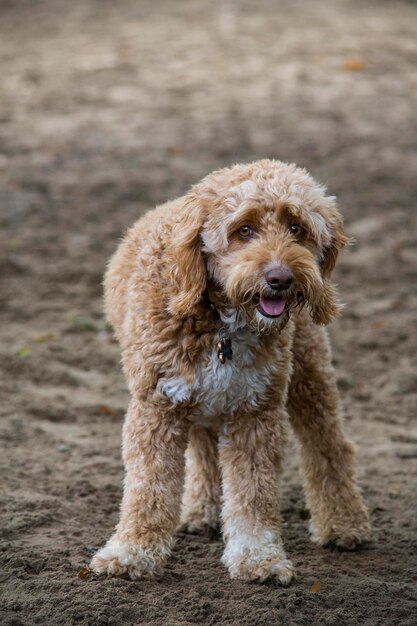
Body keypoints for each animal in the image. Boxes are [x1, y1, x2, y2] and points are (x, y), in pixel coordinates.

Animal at [89, 158, 368, 584]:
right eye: (244, 229)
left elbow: (253, 492)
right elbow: (148, 488)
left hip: (307, 372)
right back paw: (201, 511)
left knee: (328, 444)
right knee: (204, 450)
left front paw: (258, 558)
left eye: (296, 228)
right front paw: (131, 553)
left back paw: (344, 523)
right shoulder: (158, 407)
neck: (223, 321)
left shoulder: (255, 411)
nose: (280, 279)